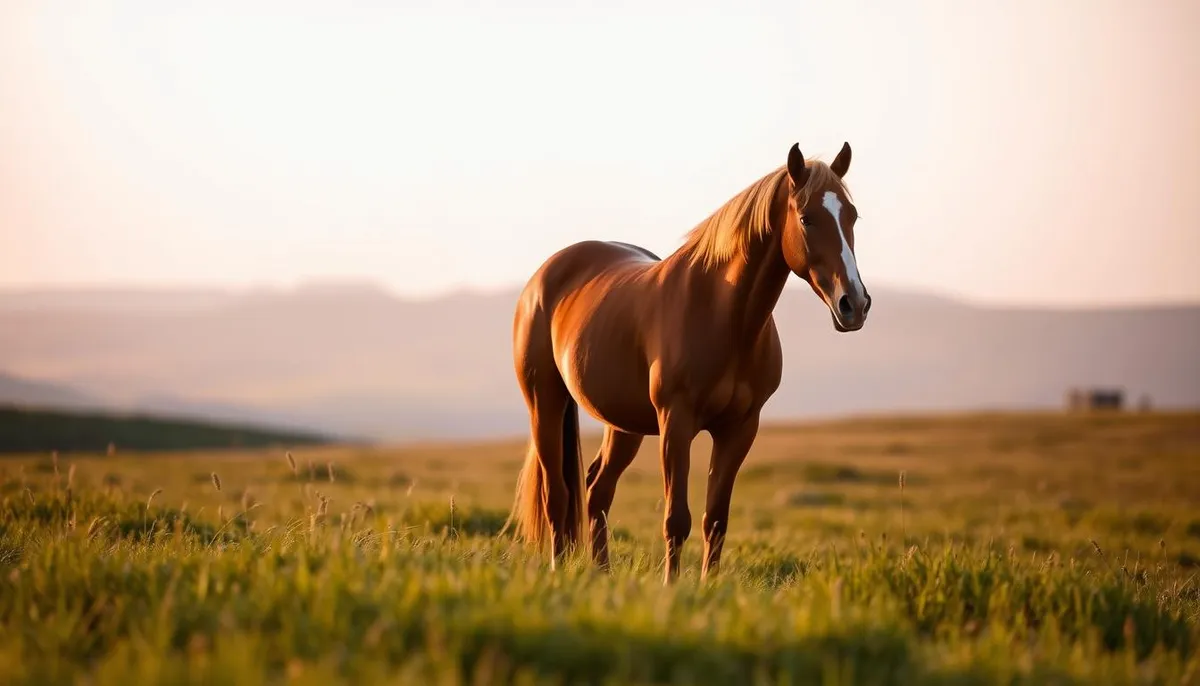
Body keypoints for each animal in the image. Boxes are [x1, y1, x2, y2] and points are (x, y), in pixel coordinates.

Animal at [503, 142, 870, 583]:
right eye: (806, 218)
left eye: (852, 215)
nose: (855, 304)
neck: (724, 315)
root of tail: (544, 277)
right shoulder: (676, 423)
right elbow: (676, 518)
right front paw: (672, 587)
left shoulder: (739, 429)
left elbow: (715, 519)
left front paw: (708, 587)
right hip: (545, 404)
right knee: (556, 494)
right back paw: (561, 571)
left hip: (623, 425)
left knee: (596, 489)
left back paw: (602, 573)